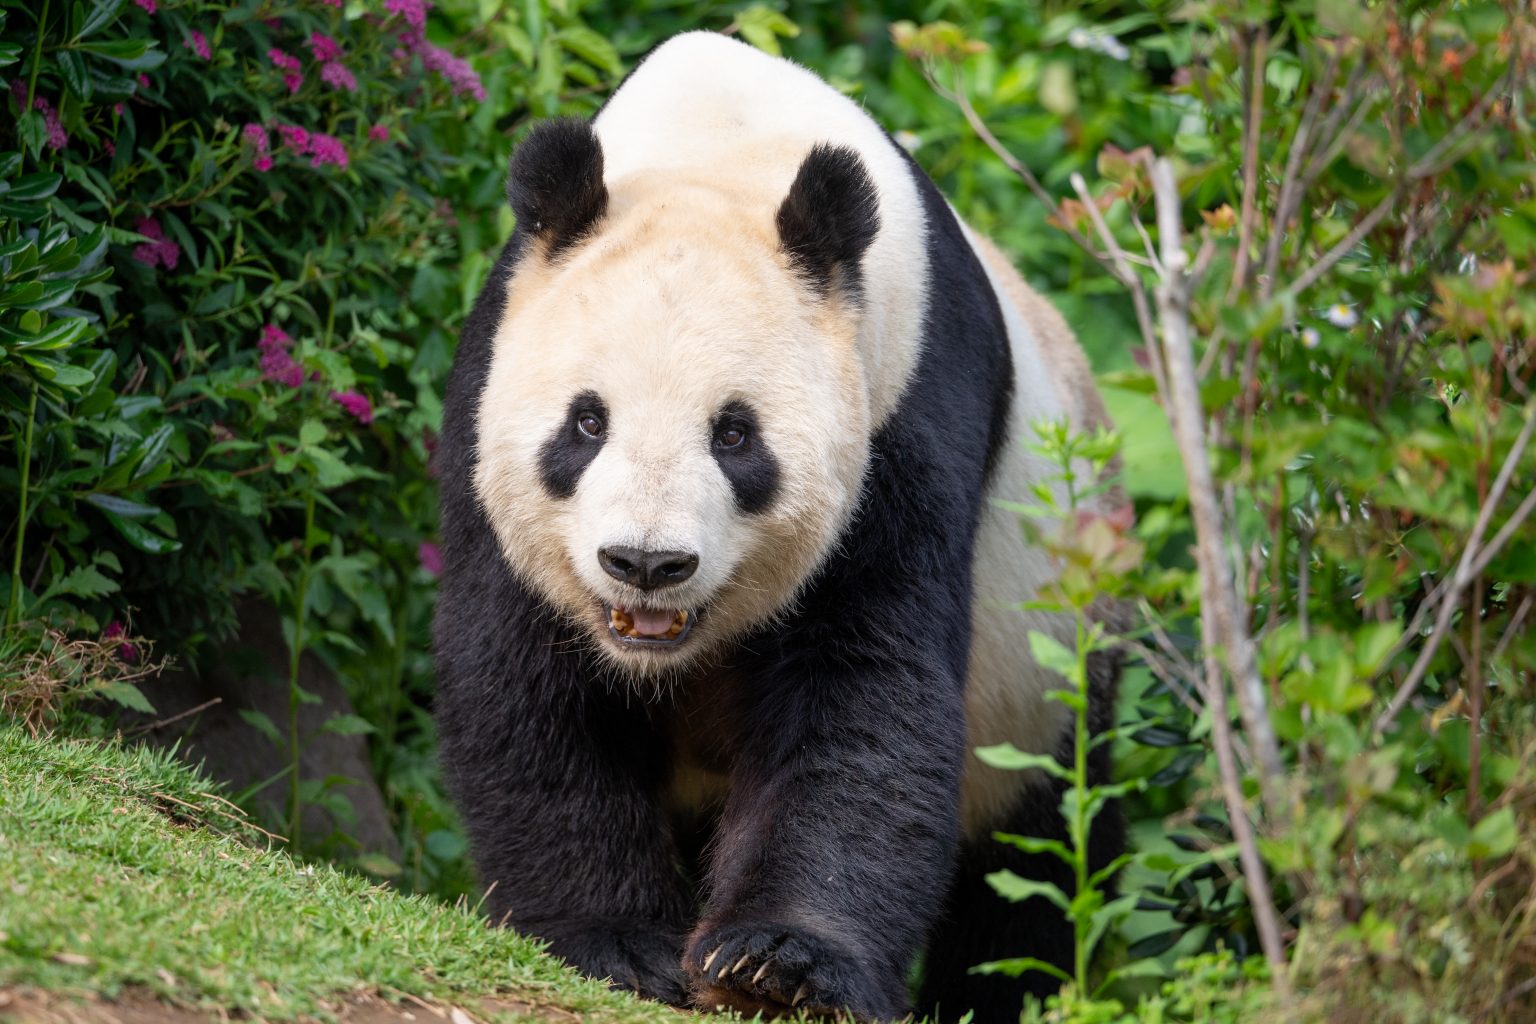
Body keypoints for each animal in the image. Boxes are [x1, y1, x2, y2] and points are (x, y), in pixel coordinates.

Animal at [439, 30, 1124, 1024]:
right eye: (586, 423)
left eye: (735, 435)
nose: (645, 563)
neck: (724, 153)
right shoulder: (489, 393)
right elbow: (527, 683)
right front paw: (615, 940)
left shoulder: (903, 409)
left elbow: (862, 692)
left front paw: (781, 962)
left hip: (1057, 652)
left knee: (1040, 859)